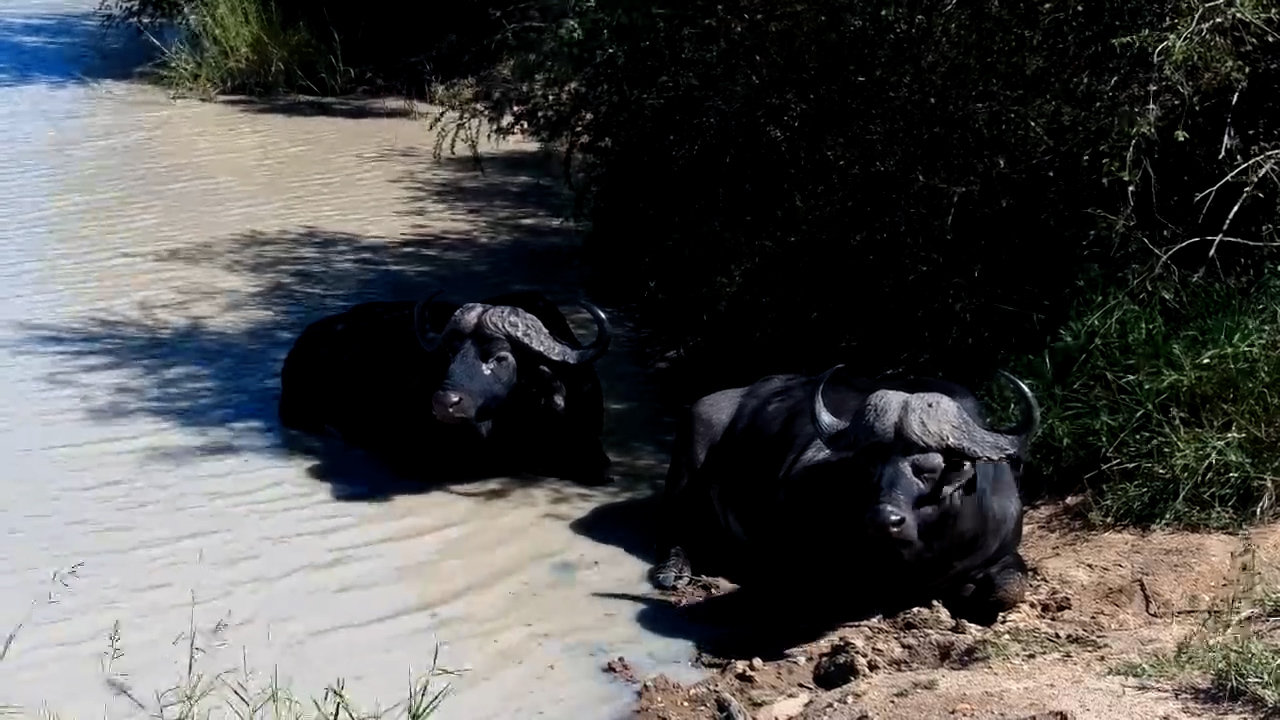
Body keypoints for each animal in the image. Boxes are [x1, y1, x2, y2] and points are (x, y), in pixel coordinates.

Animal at [648, 365, 1040, 626]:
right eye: (869, 462)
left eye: (929, 467)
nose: (883, 520)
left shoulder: (1000, 550)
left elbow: (1010, 589)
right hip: (684, 468)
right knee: (675, 531)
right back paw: (673, 571)